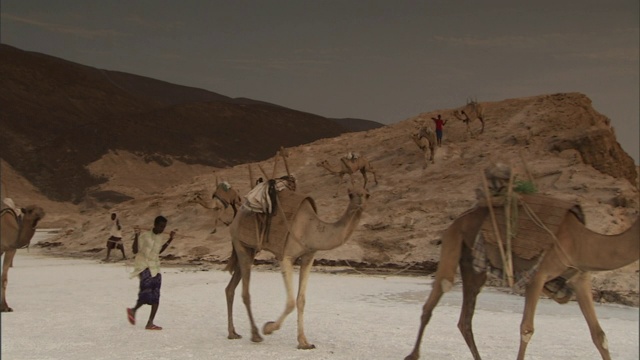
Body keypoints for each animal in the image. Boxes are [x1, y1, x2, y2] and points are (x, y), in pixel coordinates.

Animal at [224, 186, 370, 348]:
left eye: (367, 194)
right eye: (350, 194)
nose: (360, 200)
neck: (311, 229)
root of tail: (236, 216)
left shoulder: (308, 257)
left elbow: (301, 300)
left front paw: (304, 342)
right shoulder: (286, 257)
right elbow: (291, 302)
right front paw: (268, 328)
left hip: (250, 249)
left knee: (230, 288)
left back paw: (232, 333)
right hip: (240, 243)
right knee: (245, 292)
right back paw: (255, 335)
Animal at [404, 197, 640, 360]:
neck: (581, 241)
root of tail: (458, 219)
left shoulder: (580, 279)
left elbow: (599, 335)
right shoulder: (537, 275)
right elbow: (526, 329)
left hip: (473, 264)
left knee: (465, 318)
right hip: (453, 239)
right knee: (441, 289)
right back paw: (412, 355)